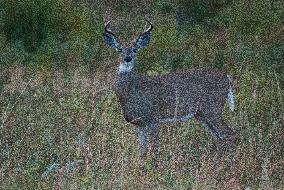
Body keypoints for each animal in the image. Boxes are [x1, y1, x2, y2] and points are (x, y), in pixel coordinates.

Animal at [103, 12, 236, 171]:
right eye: (119, 50)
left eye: (135, 49)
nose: (127, 58)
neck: (131, 92)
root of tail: (227, 77)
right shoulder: (138, 124)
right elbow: (142, 151)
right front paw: (141, 169)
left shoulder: (153, 118)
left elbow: (154, 148)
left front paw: (153, 170)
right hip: (202, 114)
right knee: (218, 137)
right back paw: (217, 165)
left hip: (213, 108)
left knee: (230, 134)